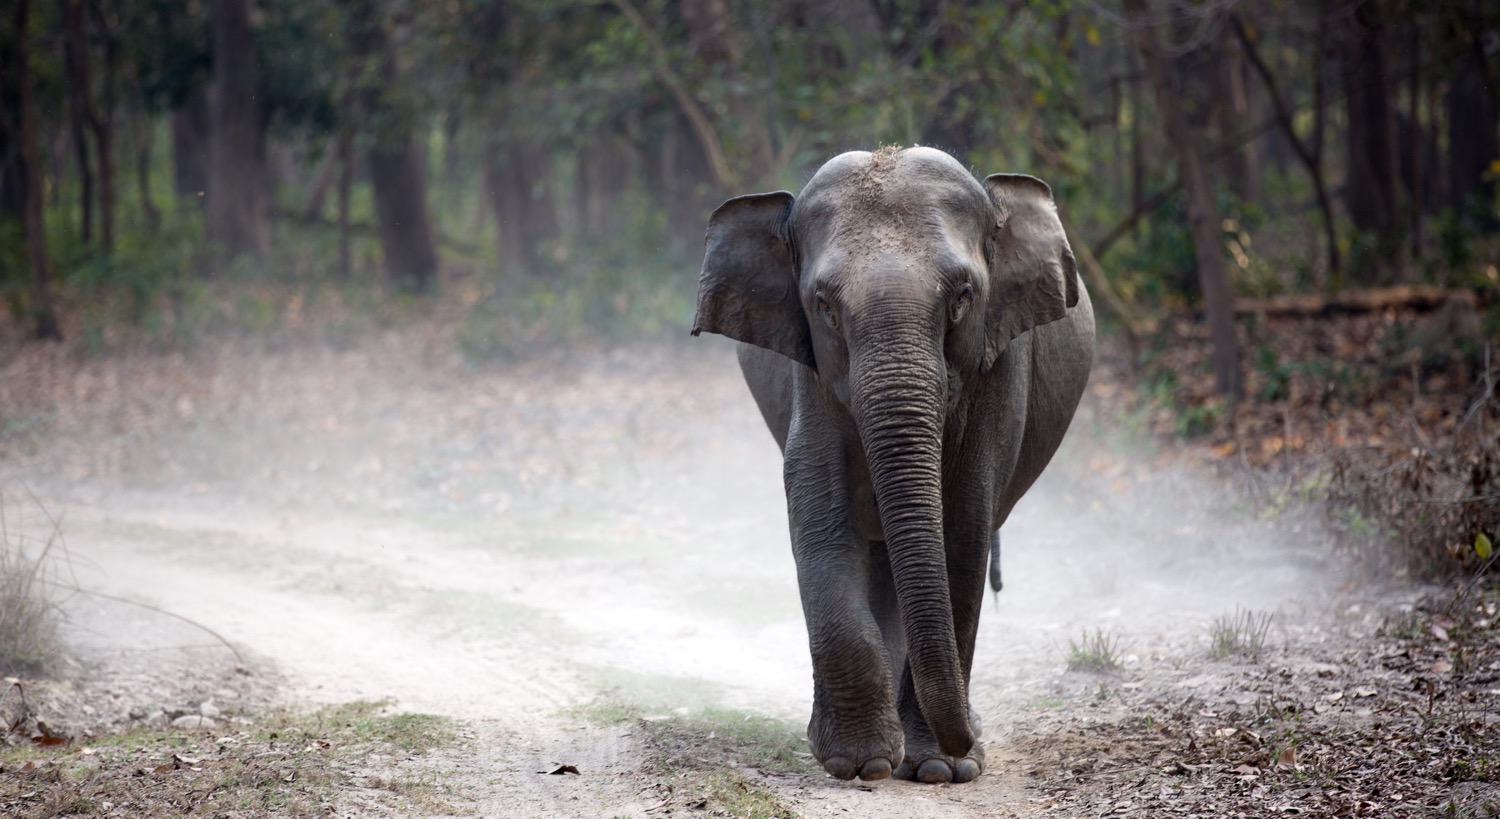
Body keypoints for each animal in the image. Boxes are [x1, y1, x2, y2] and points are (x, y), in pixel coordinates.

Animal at [691, 146, 1094, 784]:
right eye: (823, 306)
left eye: (962, 298)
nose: (968, 741)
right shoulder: (811, 374)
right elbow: (820, 513)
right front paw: (861, 764)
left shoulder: (1000, 365)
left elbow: (963, 527)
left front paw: (938, 770)